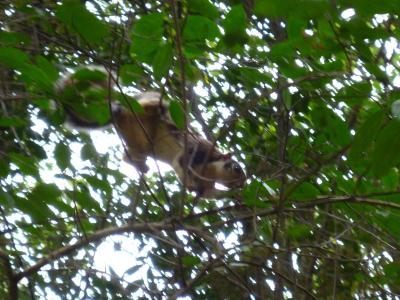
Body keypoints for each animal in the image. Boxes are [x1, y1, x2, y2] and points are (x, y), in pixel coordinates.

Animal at [54, 67, 245, 199]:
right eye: (237, 168)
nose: (241, 185)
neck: (211, 172)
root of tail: (119, 112)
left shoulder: (208, 185)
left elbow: (209, 194)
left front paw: (233, 197)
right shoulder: (201, 150)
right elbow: (183, 162)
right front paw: (190, 182)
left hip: (137, 141)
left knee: (128, 154)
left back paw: (140, 165)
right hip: (144, 106)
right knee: (151, 106)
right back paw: (156, 109)